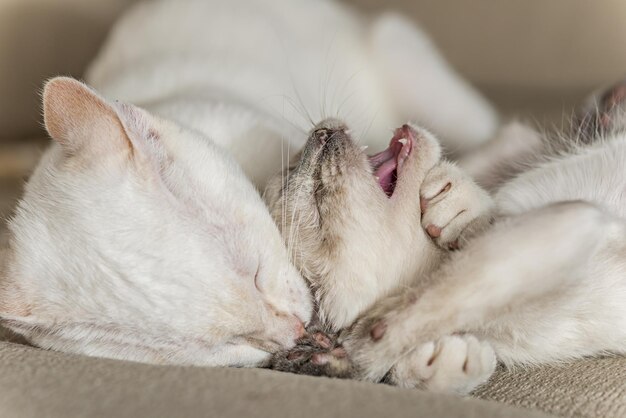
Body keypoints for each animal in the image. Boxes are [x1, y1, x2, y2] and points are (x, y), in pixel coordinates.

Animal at [264, 83, 624, 394]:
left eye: (296, 169)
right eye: (318, 205)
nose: (321, 134)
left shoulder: (570, 215)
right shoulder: (569, 223)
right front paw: (444, 362)